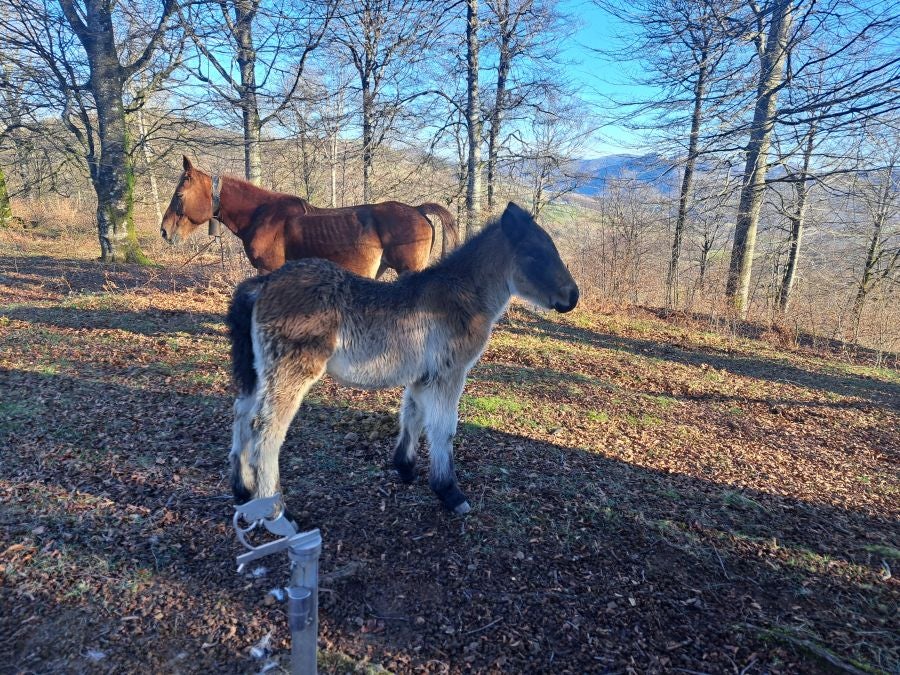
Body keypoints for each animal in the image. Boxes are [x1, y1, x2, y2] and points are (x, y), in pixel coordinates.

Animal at [229, 201, 580, 516]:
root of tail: (264, 284)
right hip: (291, 371)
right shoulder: (450, 374)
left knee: (242, 415)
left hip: (260, 372)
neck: (462, 296)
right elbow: (443, 428)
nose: (573, 296)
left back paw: (243, 491)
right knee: (266, 429)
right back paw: (274, 508)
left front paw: (406, 468)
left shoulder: (423, 375)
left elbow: (412, 415)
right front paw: (450, 492)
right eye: (536, 254)